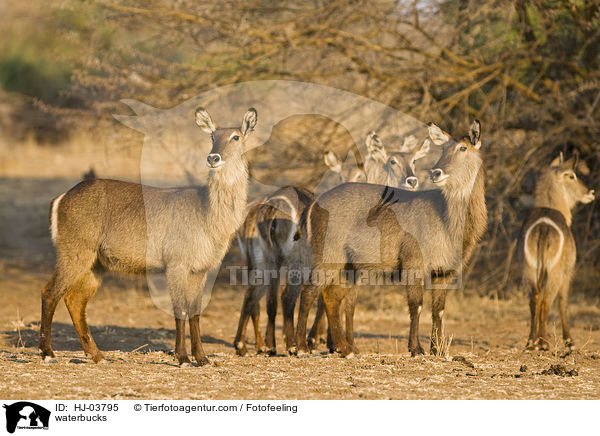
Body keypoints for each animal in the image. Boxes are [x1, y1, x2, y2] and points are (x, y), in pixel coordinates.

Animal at [41, 107, 256, 366]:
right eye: (213, 136)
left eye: (236, 137)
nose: (213, 158)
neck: (207, 212)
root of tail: (62, 197)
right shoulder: (176, 265)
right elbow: (180, 310)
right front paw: (183, 357)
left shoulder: (201, 270)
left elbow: (195, 312)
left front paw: (202, 358)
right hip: (74, 253)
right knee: (49, 294)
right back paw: (48, 353)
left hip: (96, 264)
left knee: (74, 301)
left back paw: (98, 356)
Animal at [296, 121, 488, 356]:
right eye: (443, 148)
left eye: (463, 148)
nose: (436, 172)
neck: (446, 219)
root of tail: (314, 204)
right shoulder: (414, 262)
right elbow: (417, 305)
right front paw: (416, 348)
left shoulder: (444, 271)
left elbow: (439, 310)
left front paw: (438, 349)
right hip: (328, 258)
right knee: (308, 291)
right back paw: (301, 347)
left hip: (348, 265)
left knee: (331, 297)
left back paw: (345, 348)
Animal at [516, 153, 596, 350]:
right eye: (572, 176)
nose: (591, 192)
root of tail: (543, 228)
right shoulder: (568, 271)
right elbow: (563, 302)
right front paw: (569, 340)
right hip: (555, 271)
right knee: (546, 301)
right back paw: (544, 343)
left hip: (528, 270)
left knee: (534, 299)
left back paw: (531, 341)